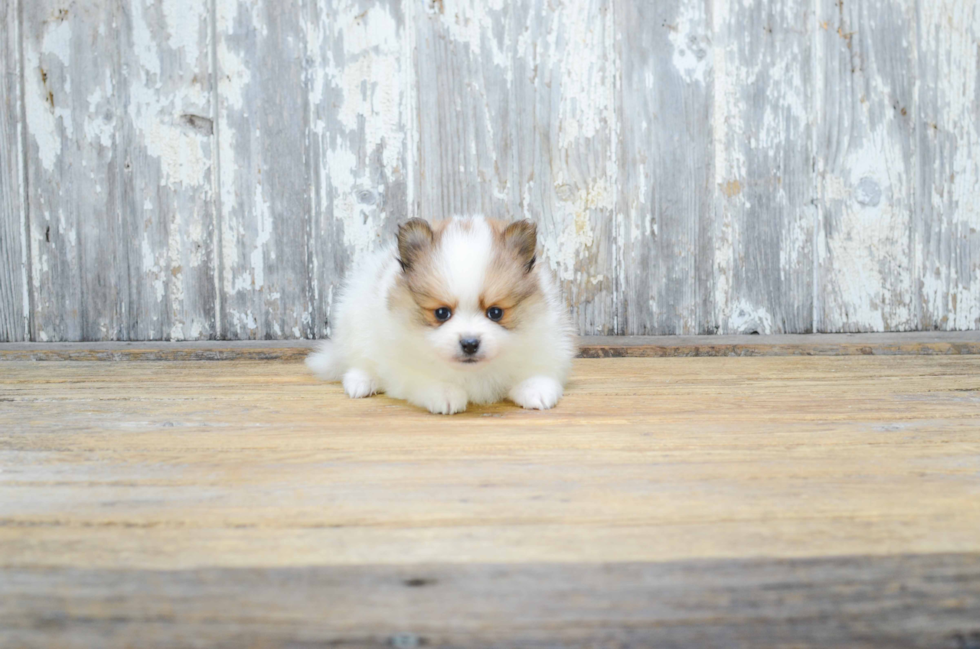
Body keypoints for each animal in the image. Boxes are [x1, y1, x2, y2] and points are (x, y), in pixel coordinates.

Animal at [306, 215, 580, 412]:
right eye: (441, 313)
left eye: (495, 312)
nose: (469, 343)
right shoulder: (402, 361)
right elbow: (425, 379)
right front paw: (446, 394)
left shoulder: (546, 338)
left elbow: (538, 369)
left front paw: (536, 389)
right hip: (355, 321)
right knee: (357, 361)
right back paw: (361, 382)